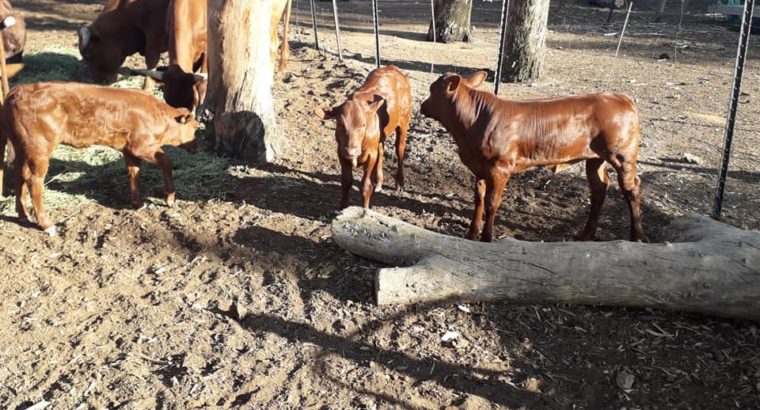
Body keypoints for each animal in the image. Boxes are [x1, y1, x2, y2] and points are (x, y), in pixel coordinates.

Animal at [0, 82, 198, 235]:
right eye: (195, 127)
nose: (196, 147)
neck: (157, 115)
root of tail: (17, 91)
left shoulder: (130, 150)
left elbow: (133, 172)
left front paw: (138, 202)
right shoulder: (142, 147)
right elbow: (166, 162)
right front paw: (170, 198)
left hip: (21, 148)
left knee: (19, 175)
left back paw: (23, 216)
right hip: (39, 150)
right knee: (34, 181)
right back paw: (46, 224)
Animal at [315, 65, 412, 209]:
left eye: (363, 124)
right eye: (340, 124)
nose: (351, 151)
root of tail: (393, 68)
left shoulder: (370, 155)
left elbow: (365, 186)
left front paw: (365, 209)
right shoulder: (341, 152)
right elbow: (346, 182)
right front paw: (343, 207)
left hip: (404, 123)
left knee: (399, 150)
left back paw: (399, 183)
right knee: (381, 151)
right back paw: (378, 182)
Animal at [420, 71, 643, 242]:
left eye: (432, 90)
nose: (422, 106)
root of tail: (621, 97)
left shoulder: (500, 168)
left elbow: (492, 202)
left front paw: (486, 237)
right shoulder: (479, 167)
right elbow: (478, 199)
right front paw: (471, 233)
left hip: (623, 155)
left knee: (632, 188)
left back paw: (636, 236)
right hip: (595, 158)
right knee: (599, 189)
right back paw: (585, 235)